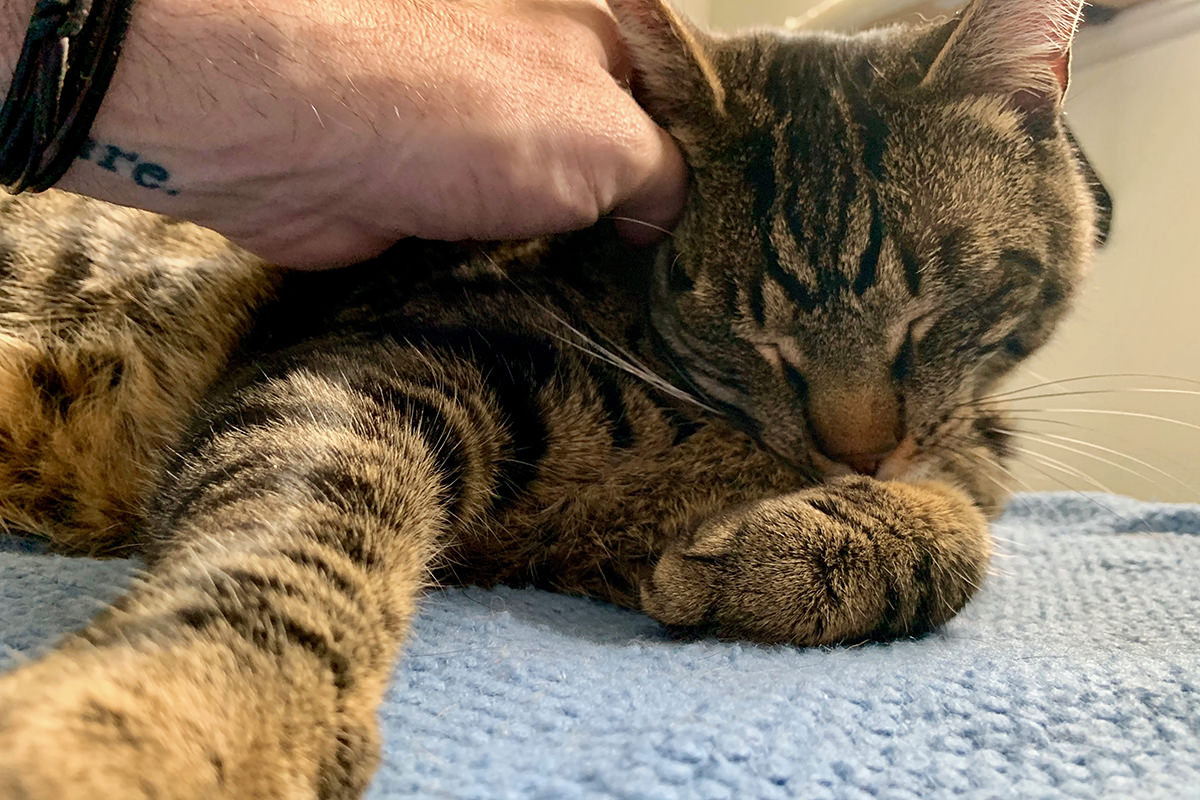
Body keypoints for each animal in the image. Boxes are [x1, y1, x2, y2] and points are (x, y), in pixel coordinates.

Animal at [0, 0, 1104, 796]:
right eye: (744, 326)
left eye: (937, 306)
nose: (858, 450)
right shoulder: (370, 358)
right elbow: (288, 545)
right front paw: (184, 727)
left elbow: (963, 525)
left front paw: (784, 550)